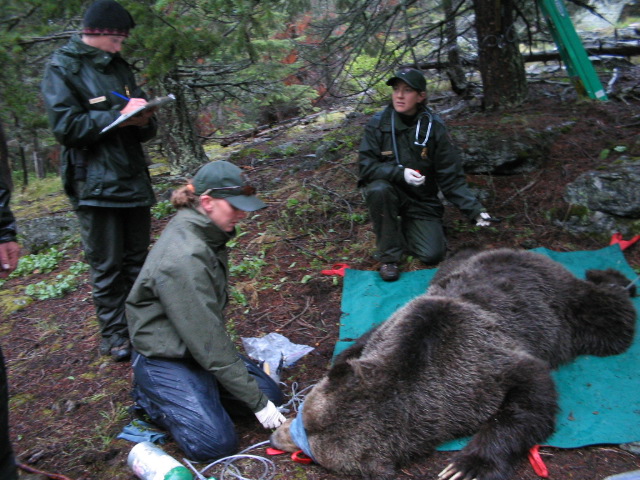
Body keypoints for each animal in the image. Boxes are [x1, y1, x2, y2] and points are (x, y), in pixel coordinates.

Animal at [268, 249, 636, 478]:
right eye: (303, 421)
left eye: (307, 447)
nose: (275, 438)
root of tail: (532, 255)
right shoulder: (399, 323)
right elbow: (359, 344)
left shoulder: (486, 366)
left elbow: (531, 397)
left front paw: (468, 465)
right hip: (465, 267)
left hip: (568, 313)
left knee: (611, 319)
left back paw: (610, 275)